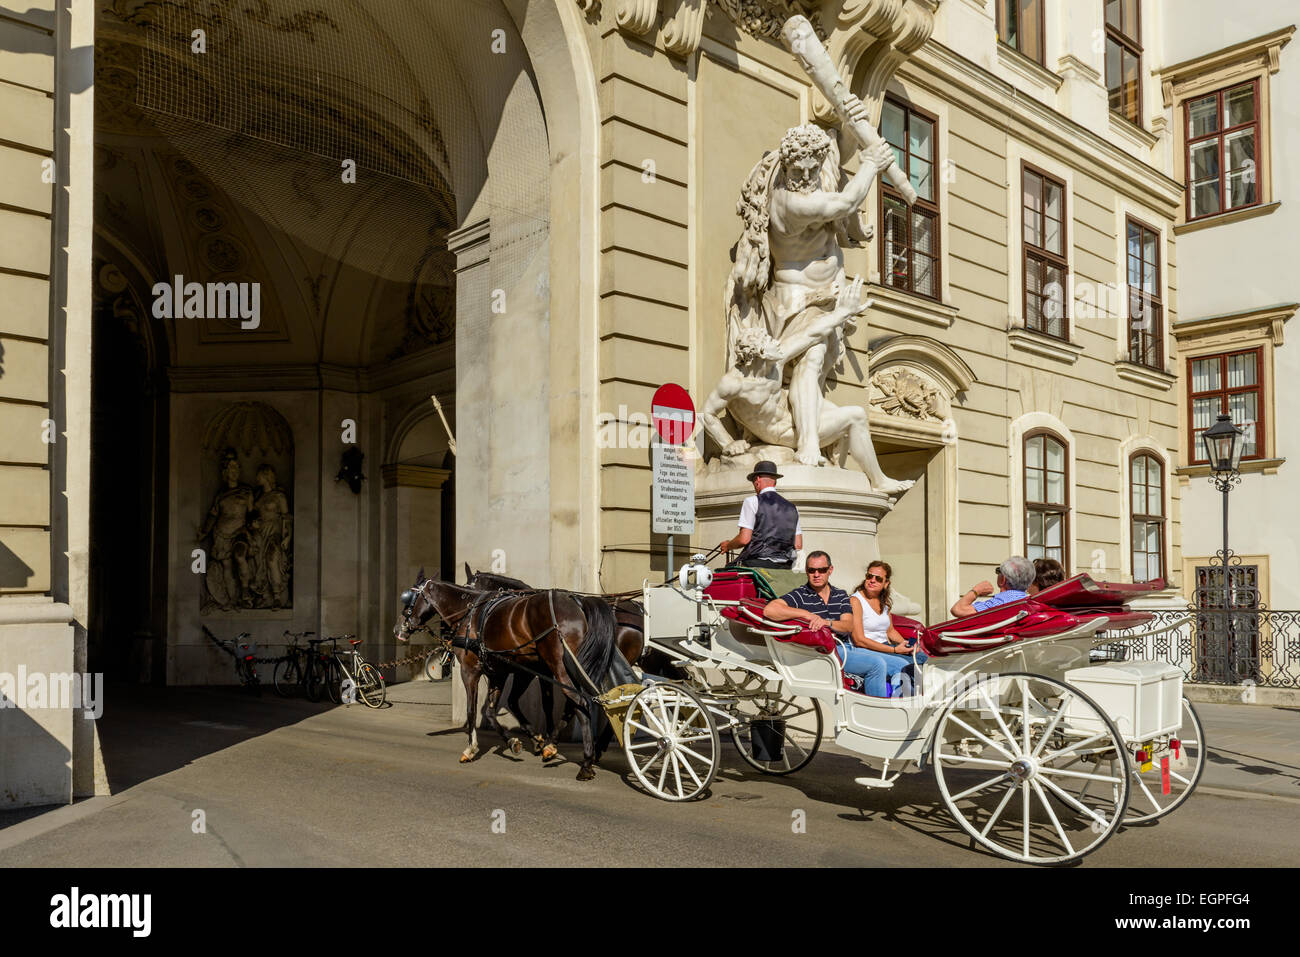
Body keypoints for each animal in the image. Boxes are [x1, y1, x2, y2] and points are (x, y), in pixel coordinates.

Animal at [392, 566, 621, 780]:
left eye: (409, 598)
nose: (398, 628)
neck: (471, 613)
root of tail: (578, 602)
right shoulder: (501, 672)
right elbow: (492, 712)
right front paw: (520, 741)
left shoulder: (471, 670)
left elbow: (472, 710)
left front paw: (471, 747)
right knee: (581, 703)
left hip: (561, 668)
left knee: (581, 704)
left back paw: (586, 762)